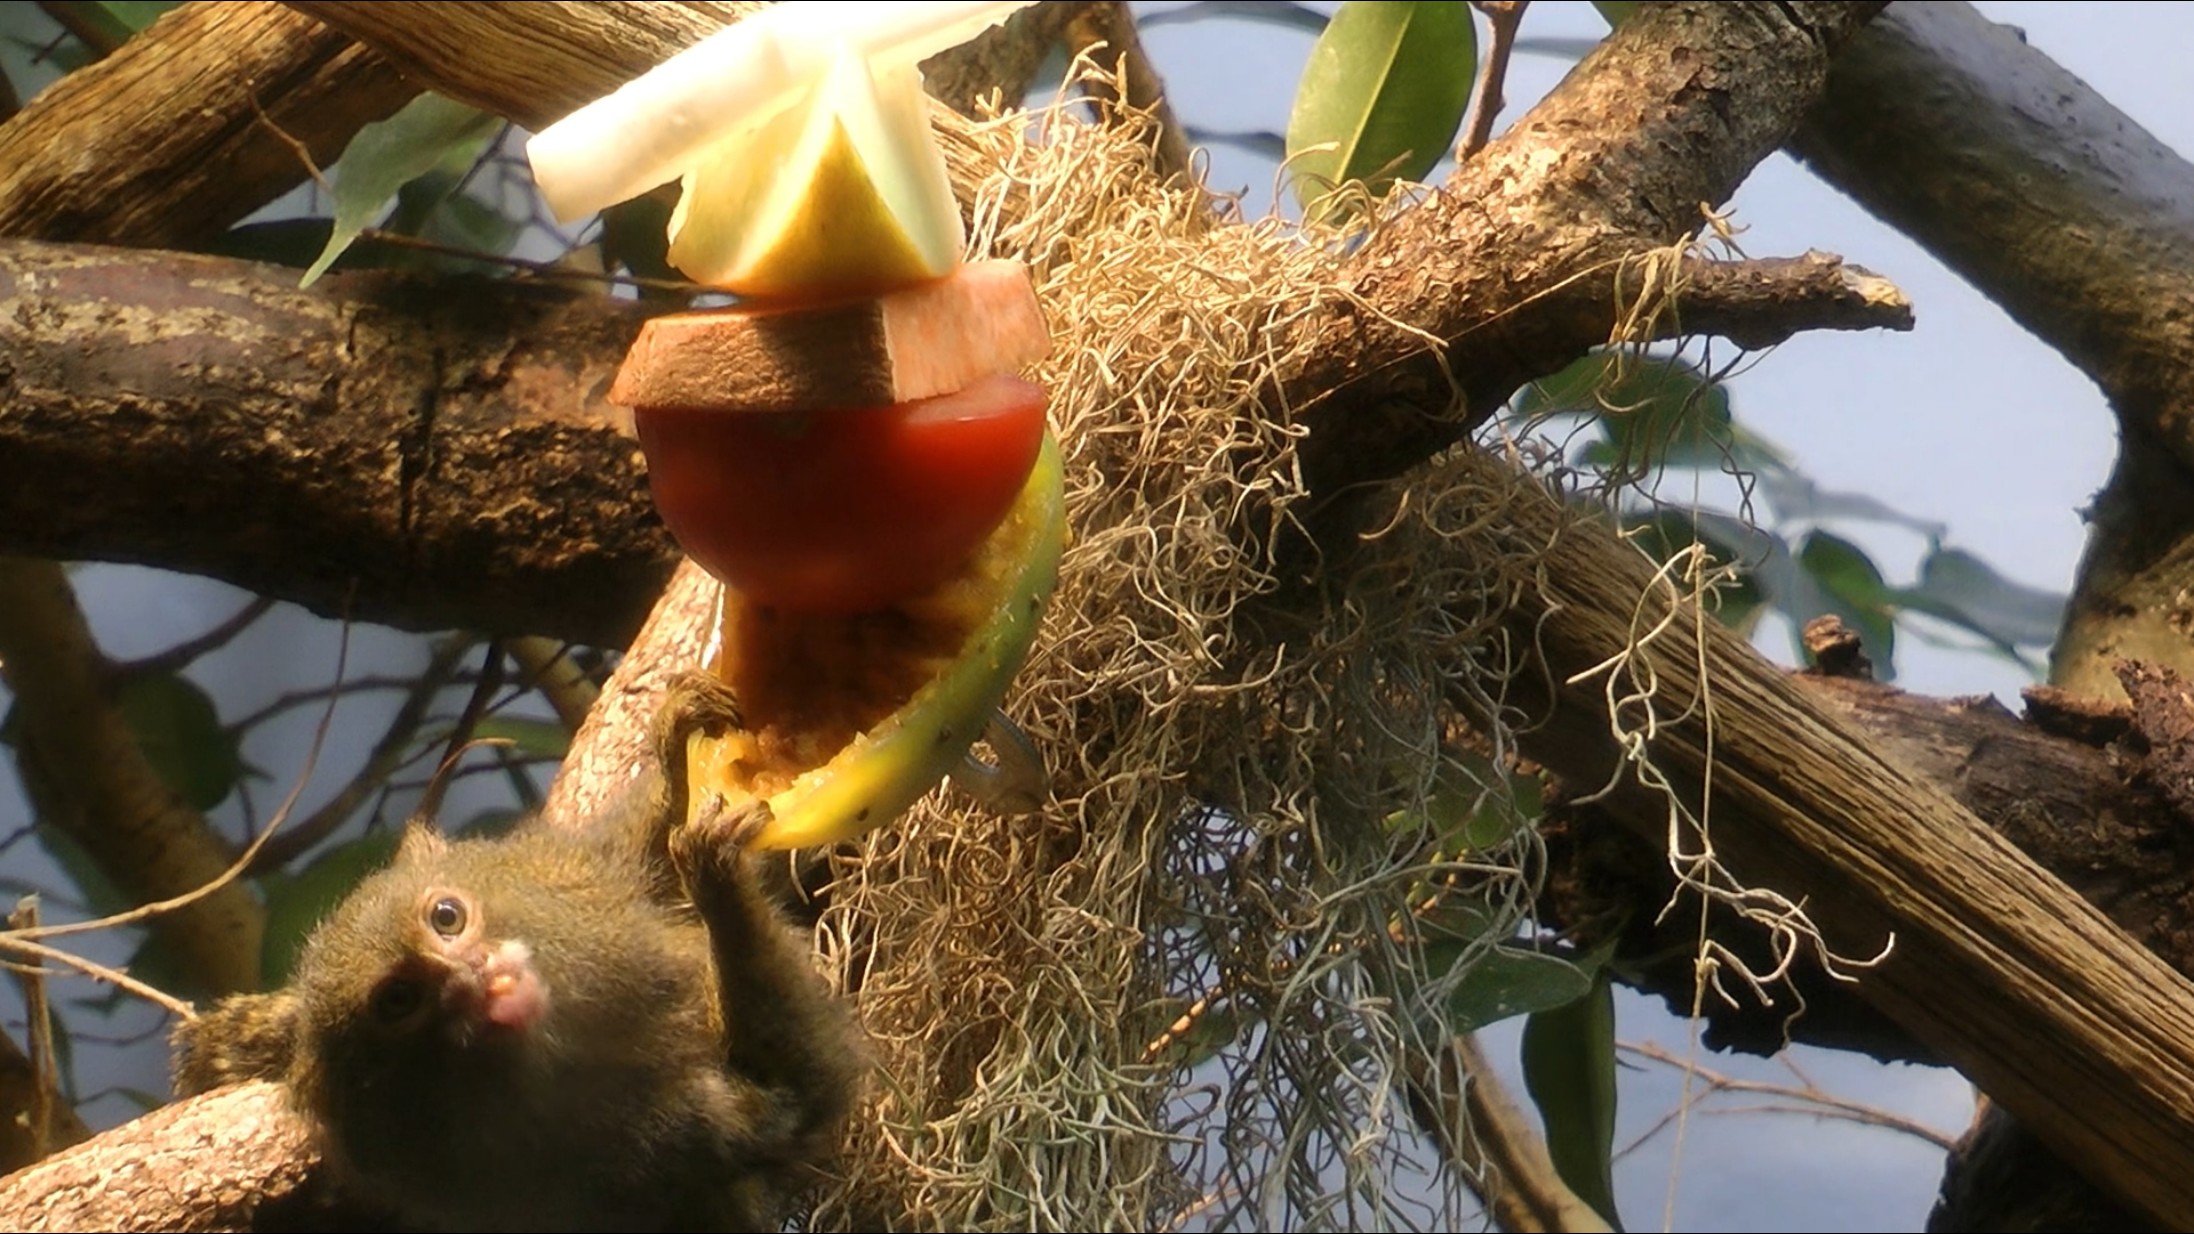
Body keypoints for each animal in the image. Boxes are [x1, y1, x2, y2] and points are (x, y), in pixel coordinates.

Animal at [172, 672, 866, 1233]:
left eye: (446, 917)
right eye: (400, 999)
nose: (473, 975)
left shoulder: (584, 879)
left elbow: (643, 851)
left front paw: (673, 749)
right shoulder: (667, 1149)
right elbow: (805, 1093)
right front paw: (715, 874)